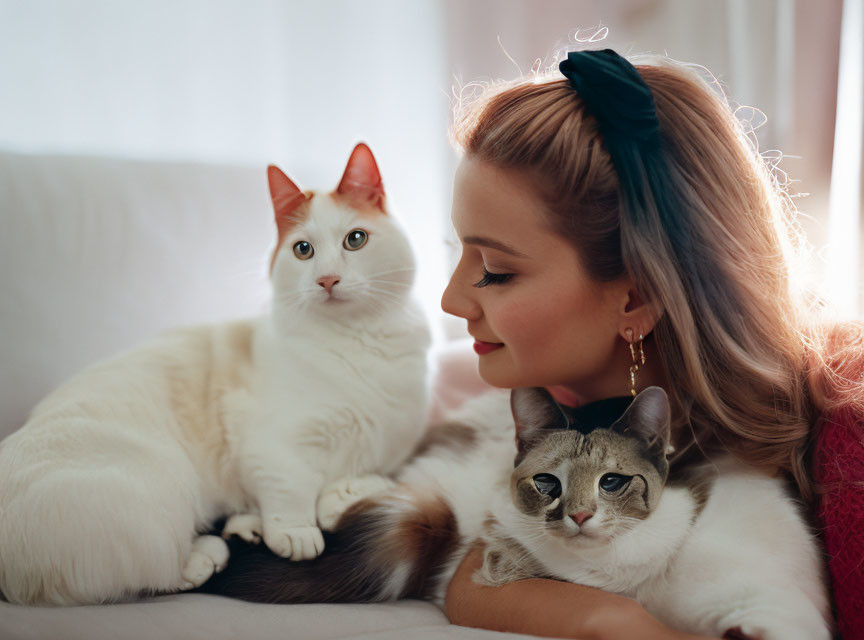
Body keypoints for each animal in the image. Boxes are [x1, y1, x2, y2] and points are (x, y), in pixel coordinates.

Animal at [0, 144, 430, 604]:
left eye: (356, 239)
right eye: (303, 250)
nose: (327, 279)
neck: (362, 343)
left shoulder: (392, 446)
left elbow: (374, 476)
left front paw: (339, 496)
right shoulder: (271, 445)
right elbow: (291, 487)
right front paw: (297, 532)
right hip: (164, 485)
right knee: (144, 573)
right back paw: (206, 554)